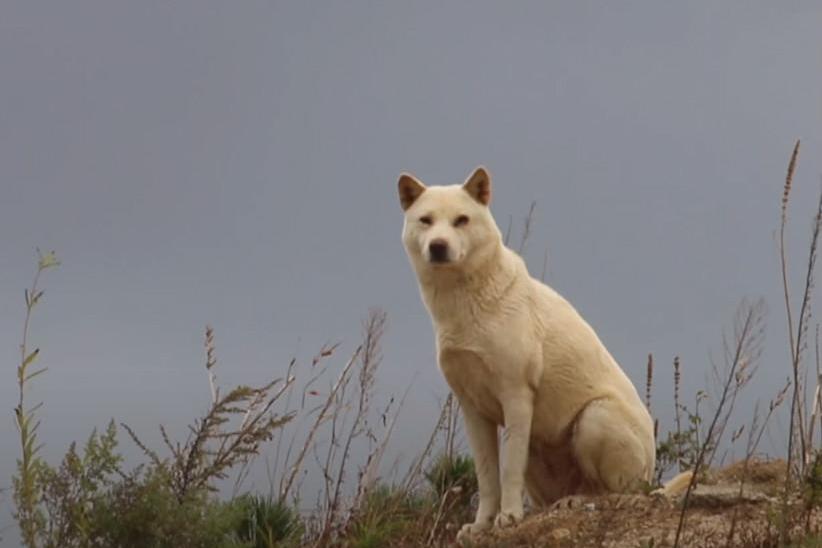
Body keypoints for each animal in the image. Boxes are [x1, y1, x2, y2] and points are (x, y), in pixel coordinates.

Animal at [398, 166, 656, 540]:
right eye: (426, 220)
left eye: (461, 220)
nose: (438, 246)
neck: (464, 303)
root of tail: (653, 472)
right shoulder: (473, 409)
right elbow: (487, 476)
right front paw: (481, 525)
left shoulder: (517, 396)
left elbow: (508, 471)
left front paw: (509, 517)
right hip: (540, 445)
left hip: (593, 418)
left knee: (615, 493)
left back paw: (578, 502)